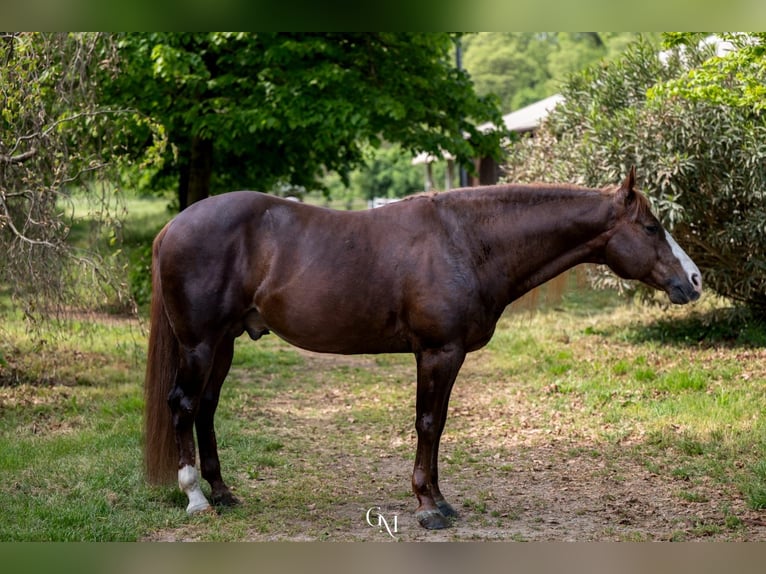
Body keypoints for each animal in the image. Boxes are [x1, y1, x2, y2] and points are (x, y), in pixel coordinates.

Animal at [143, 167, 702, 530]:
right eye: (651, 227)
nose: (694, 280)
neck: (465, 241)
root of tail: (173, 226)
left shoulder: (445, 356)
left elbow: (439, 425)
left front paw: (440, 501)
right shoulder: (437, 352)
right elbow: (428, 424)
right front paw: (428, 507)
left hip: (225, 343)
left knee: (206, 408)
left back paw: (223, 493)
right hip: (200, 343)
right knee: (184, 405)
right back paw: (196, 498)